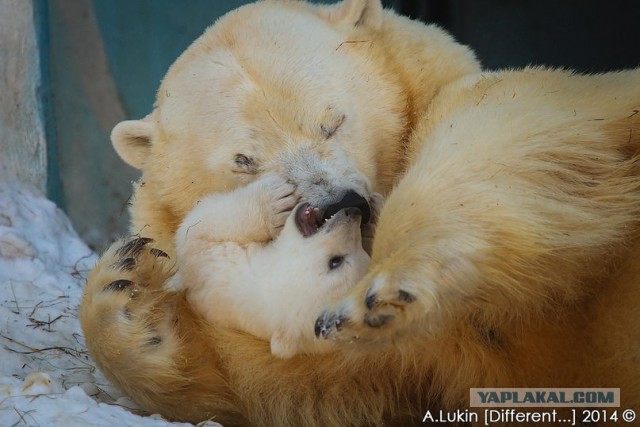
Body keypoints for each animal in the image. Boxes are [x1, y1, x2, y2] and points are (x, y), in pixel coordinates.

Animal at [80, 0, 640, 424]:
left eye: (332, 121)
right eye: (244, 160)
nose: (336, 204)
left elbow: (501, 133)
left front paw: (391, 287)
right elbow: (302, 382)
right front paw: (127, 290)